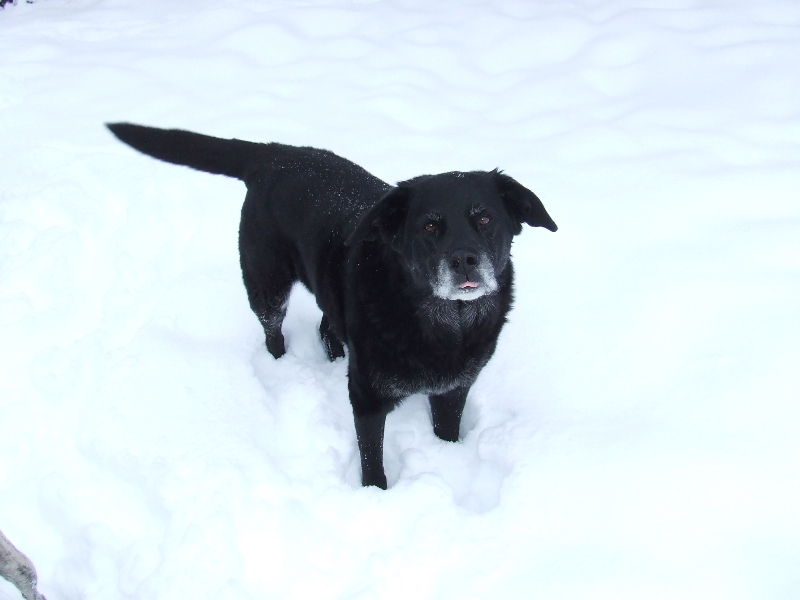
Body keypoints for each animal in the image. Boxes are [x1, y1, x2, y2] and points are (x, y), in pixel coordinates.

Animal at [106, 124, 556, 490]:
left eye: (485, 219)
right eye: (430, 225)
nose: (464, 259)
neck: (447, 324)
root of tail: (273, 153)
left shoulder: (455, 388)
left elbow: (446, 430)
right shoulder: (368, 398)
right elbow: (372, 461)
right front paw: (375, 497)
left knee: (326, 326)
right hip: (266, 283)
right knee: (273, 330)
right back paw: (282, 363)